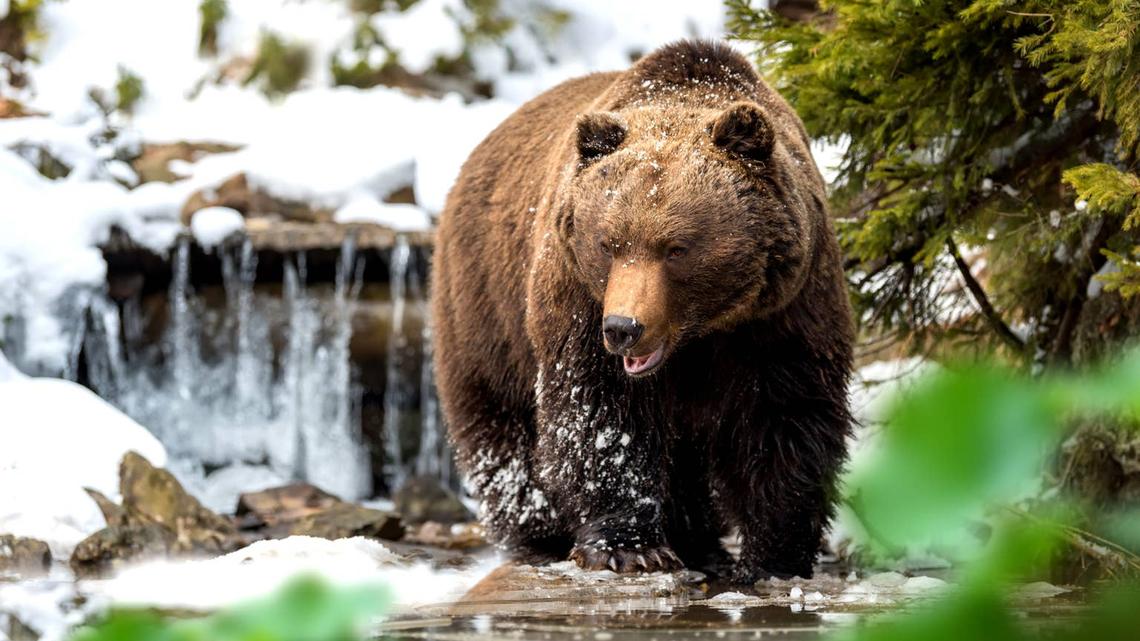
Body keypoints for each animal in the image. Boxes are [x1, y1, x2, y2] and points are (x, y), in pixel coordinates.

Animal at [430, 40, 853, 583]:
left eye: (676, 248)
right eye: (608, 244)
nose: (624, 328)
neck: (700, 332)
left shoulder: (783, 310)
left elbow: (784, 415)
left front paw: (773, 556)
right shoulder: (578, 301)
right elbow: (602, 415)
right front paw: (629, 547)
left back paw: (698, 539)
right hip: (486, 304)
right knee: (501, 423)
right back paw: (540, 533)